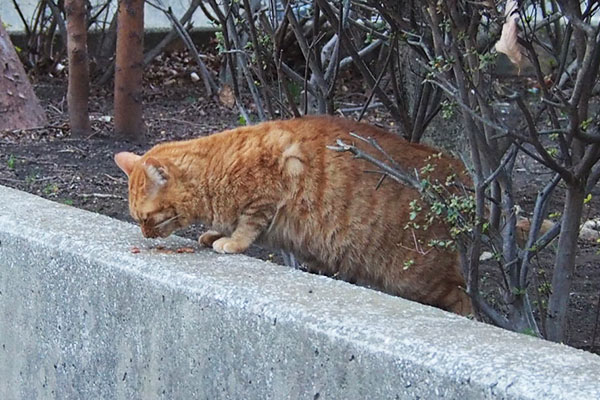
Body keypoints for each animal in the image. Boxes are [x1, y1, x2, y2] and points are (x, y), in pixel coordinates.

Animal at [115, 115, 474, 316]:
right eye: (137, 219)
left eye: (147, 218)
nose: (145, 235)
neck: (213, 169)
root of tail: (458, 171)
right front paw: (215, 233)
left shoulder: (271, 186)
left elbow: (248, 225)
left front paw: (230, 241)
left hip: (416, 278)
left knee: (463, 299)